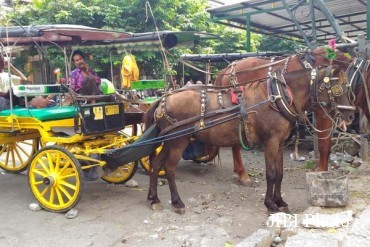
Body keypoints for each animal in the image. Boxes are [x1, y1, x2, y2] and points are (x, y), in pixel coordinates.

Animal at [143, 64, 354, 214]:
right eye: (337, 88)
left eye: (348, 87)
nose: (351, 116)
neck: (279, 97)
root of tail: (163, 99)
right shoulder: (270, 142)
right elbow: (271, 174)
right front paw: (270, 204)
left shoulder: (279, 144)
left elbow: (280, 174)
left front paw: (280, 201)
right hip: (179, 141)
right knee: (169, 168)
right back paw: (177, 202)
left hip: (169, 141)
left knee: (156, 164)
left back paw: (154, 198)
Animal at [215, 48, 354, 183]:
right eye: (339, 89)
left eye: (349, 86)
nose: (351, 116)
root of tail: (227, 69)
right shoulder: (321, 110)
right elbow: (324, 145)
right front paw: (322, 172)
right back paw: (243, 174)